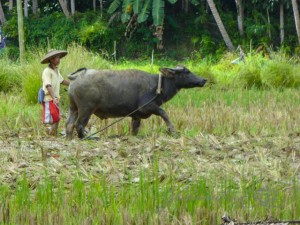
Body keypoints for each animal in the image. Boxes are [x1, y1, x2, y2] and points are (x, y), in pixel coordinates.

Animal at [65, 65, 206, 139]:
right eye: (187, 72)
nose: (203, 80)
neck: (157, 85)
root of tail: (76, 78)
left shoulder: (136, 116)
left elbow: (135, 129)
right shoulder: (147, 106)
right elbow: (163, 112)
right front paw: (172, 130)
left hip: (73, 108)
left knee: (69, 125)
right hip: (86, 109)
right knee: (79, 125)